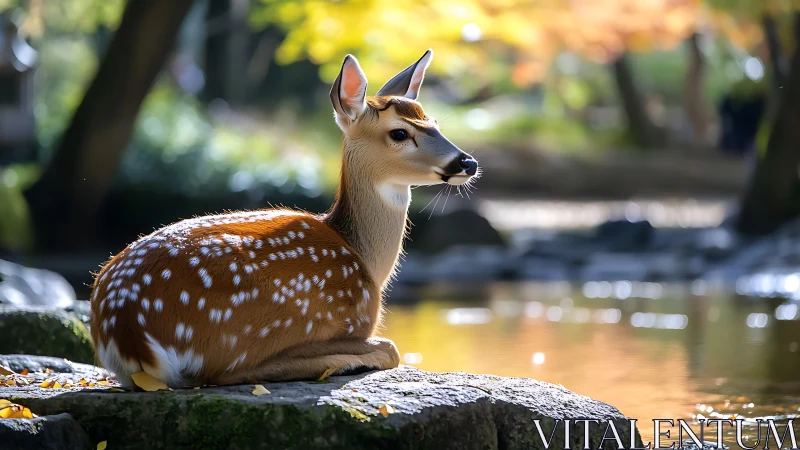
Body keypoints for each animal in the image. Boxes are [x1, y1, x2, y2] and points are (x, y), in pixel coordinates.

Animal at [89, 49, 479, 388]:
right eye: (400, 132)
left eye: (434, 123)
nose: (468, 162)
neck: (364, 259)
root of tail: (126, 332)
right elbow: (392, 347)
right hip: (242, 330)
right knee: (223, 373)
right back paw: (336, 363)